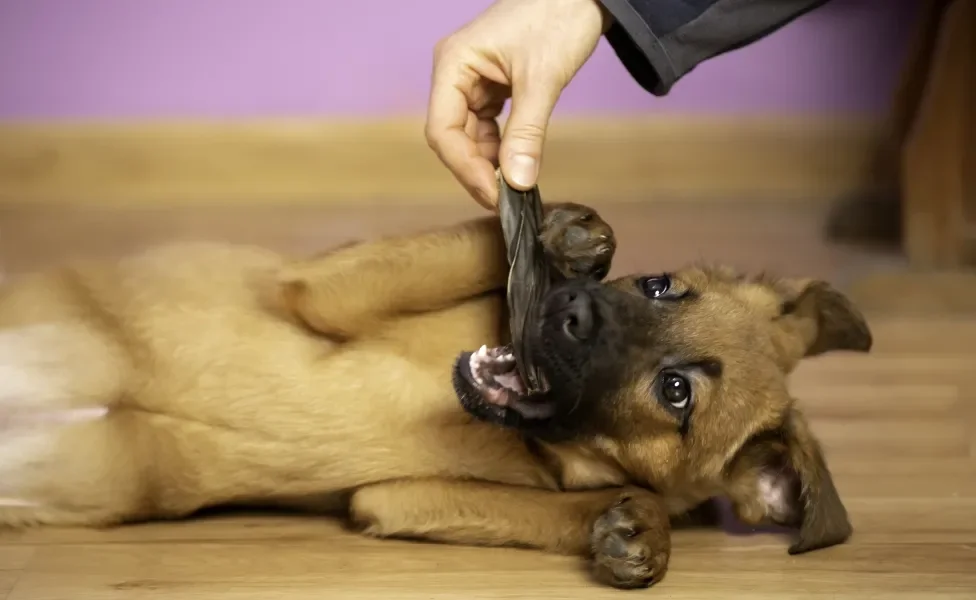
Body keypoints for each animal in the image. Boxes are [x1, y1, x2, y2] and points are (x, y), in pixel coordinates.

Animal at [0, 204, 868, 588]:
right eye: (659, 286)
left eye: (677, 391)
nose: (568, 308)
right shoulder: (323, 289)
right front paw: (567, 234)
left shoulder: (392, 495)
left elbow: (578, 508)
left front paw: (638, 530)